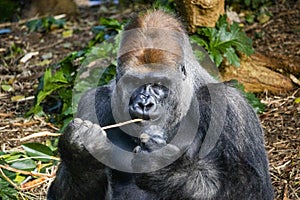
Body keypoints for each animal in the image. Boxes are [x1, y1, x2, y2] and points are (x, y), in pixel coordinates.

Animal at [47, 10, 274, 200]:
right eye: (133, 83)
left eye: (158, 84)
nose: (144, 104)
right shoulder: (93, 102)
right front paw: (80, 153)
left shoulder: (231, 106)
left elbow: (251, 188)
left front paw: (159, 164)